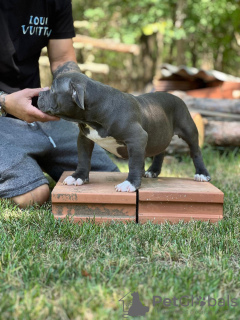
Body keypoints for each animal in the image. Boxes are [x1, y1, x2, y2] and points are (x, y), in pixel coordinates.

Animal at [37, 72, 210, 192]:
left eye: (52, 89)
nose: (38, 93)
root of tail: (176, 96)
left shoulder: (137, 138)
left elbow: (133, 163)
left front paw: (130, 184)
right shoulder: (84, 138)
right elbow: (83, 159)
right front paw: (78, 177)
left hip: (189, 129)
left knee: (195, 151)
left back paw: (202, 173)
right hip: (160, 134)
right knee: (160, 151)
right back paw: (153, 171)